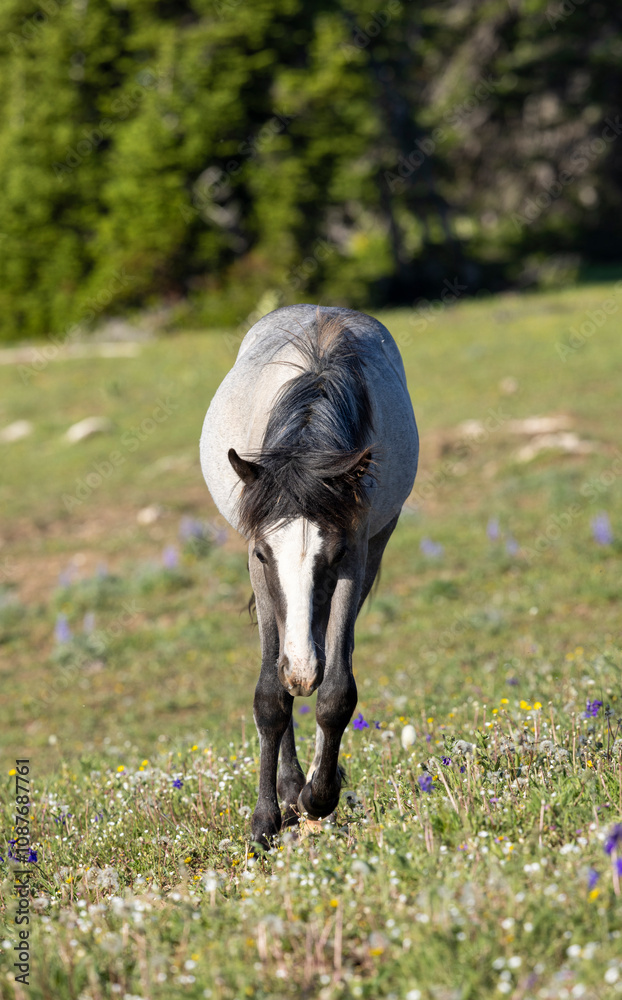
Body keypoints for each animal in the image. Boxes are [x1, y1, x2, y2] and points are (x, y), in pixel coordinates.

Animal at [200, 305, 418, 846]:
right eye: (262, 554)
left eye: (334, 553)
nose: (301, 672)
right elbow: (270, 696)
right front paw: (265, 819)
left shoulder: (356, 557)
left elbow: (337, 690)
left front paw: (318, 796)